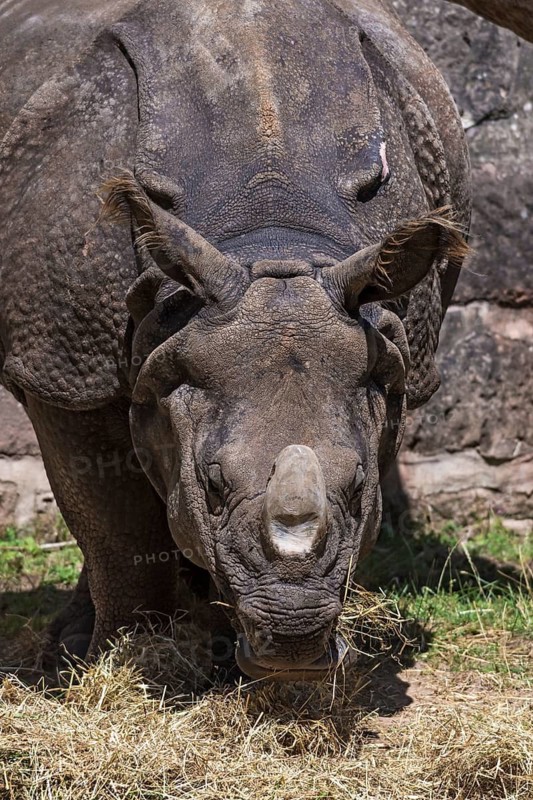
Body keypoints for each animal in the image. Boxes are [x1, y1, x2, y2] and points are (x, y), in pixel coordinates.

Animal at [0, 0, 526, 680]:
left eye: (357, 486)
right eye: (213, 485)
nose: (292, 635)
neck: (269, 233)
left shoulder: (389, 351)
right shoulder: (65, 367)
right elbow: (116, 526)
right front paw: (125, 659)